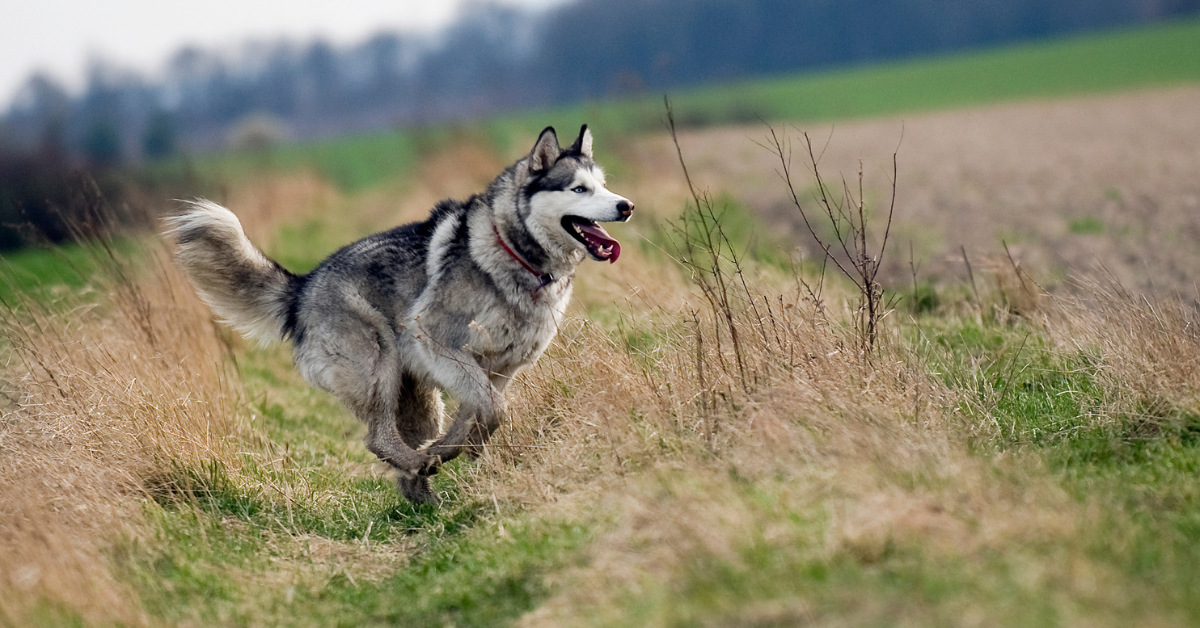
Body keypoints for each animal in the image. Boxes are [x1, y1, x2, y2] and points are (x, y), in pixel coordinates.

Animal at [170, 125, 638, 504]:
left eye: (603, 186)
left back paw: (423, 492)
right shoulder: (436, 340)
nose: (626, 205)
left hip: (418, 400)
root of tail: (303, 287)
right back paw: (417, 467)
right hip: (380, 369)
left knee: (400, 448)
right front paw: (455, 451)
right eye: (578, 190)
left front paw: (459, 449)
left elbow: (484, 410)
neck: (516, 253)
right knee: (378, 439)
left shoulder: (501, 367)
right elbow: (492, 409)